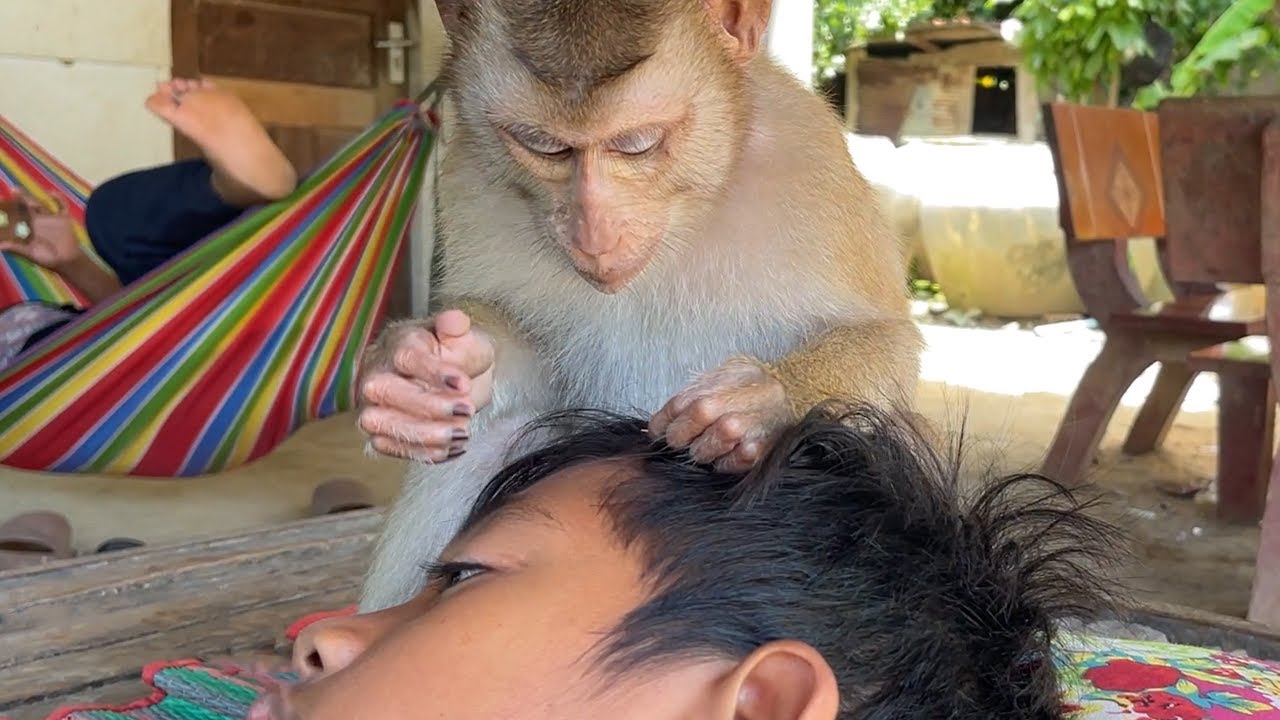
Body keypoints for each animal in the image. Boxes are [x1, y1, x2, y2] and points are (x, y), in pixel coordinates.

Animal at [354, 0, 925, 612]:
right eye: (543, 146)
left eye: (638, 143)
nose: (594, 234)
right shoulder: (470, 177)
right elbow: (526, 357)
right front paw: (417, 372)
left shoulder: (811, 154)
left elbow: (889, 341)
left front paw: (759, 402)